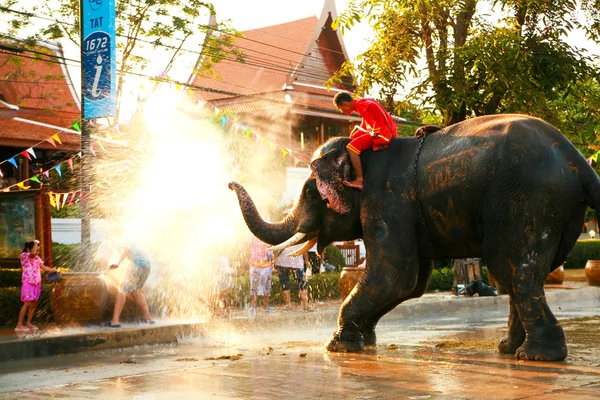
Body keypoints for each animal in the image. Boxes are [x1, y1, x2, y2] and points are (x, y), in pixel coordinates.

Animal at [230, 114, 600, 360]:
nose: (229, 182)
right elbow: (414, 282)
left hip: (528, 202)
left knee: (516, 272)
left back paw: (535, 356)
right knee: (516, 275)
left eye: (310, 194)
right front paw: (364, 341)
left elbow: (395, 274)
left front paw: (338, 346)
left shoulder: (387, 199)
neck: (360, 154)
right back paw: (509, 349)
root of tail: (581, 164)